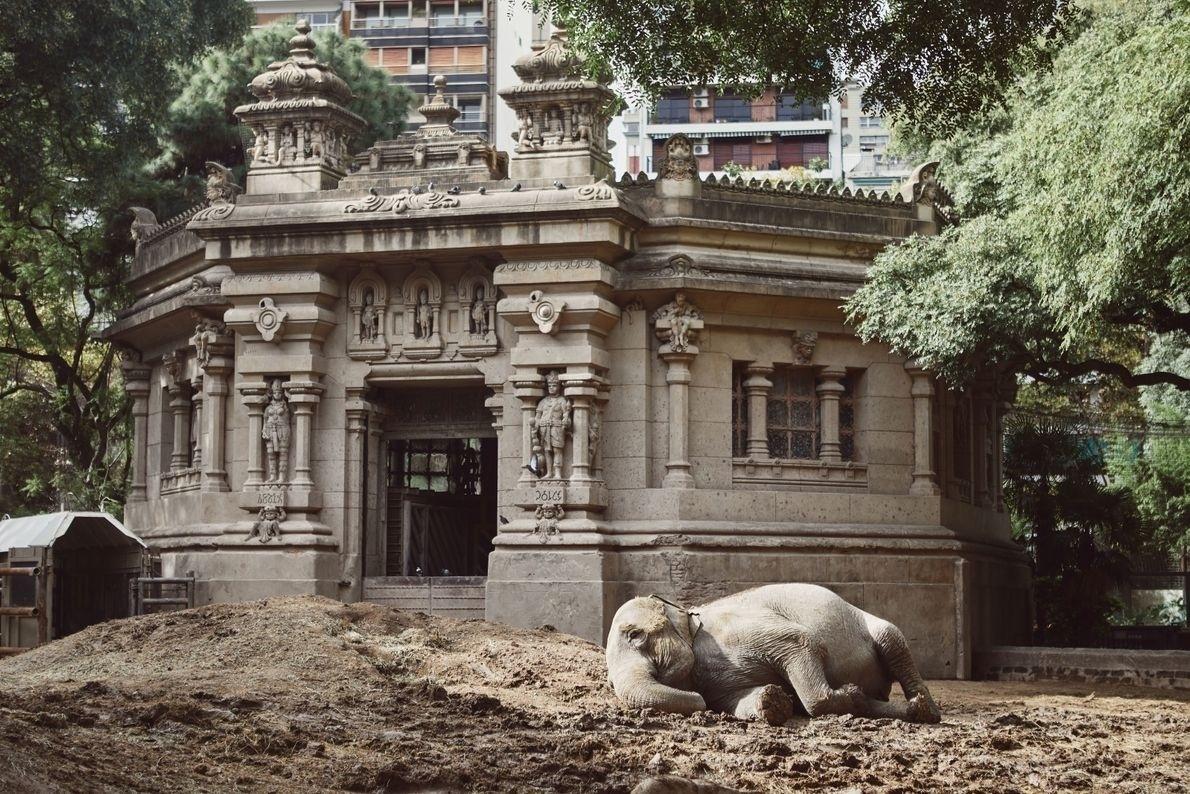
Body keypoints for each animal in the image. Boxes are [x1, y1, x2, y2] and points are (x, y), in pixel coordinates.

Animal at [609, 583, 942, 728]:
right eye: (611, 685)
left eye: (635, 635)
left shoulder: (737, 631)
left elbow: (801, 641)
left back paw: (926, 710)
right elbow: (737, 700)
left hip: (874, 626)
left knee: (891, 639)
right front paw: (774, 702)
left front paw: (845, 693)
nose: (699, 703)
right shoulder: (715, 683)